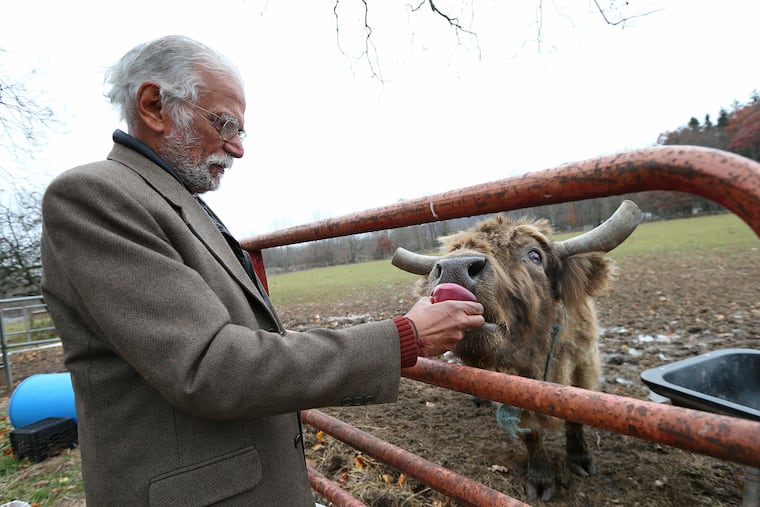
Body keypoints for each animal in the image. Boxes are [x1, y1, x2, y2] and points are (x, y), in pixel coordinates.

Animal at [391, 200, 641, 501]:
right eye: (452, 253)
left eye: (534, 255)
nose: (454, 268)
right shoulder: (513, 384)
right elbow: (531, 431)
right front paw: (541, 479)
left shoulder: (583, 364)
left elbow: (577, 416)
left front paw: (580, 460)